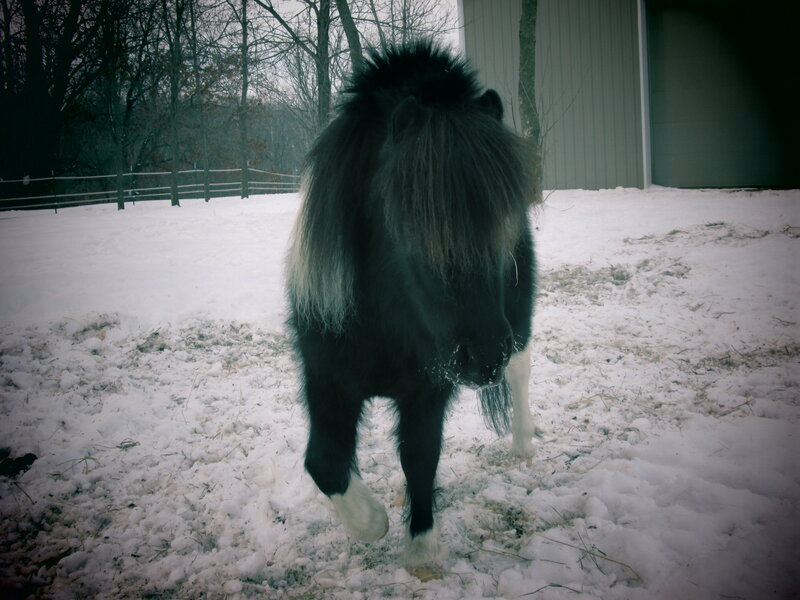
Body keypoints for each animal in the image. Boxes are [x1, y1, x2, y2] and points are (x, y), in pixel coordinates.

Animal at [286, 40, 537, 571]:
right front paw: (373, 521)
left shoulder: (428, 387)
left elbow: (421, 456)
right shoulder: (326, 378)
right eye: (408, 224)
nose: (483, 356)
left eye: (501, 225)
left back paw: (525, 442)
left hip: (518, 320)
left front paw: (421, 546)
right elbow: (324, 462)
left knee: (521, 370)